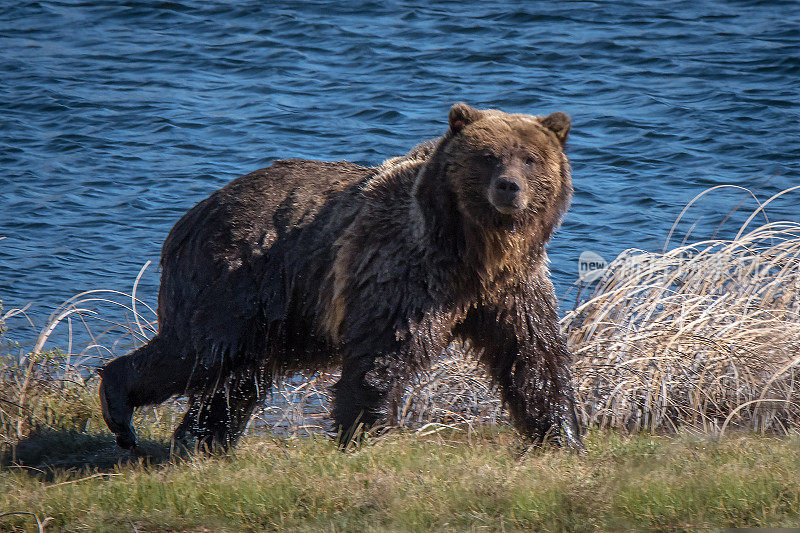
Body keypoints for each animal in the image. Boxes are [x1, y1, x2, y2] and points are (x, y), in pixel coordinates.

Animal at [98, 103, 580, 448]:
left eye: (530, 159)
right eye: (487, 157)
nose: (508, 187)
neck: (476, 250)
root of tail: (191, 215)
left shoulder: (513, 286)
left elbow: (533, 354)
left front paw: (561, 435)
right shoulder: (404, 270)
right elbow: (383, 353)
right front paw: (364, 432)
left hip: (265, 309)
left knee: (232, 378)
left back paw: (202, 440)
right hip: (232, 277)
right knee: (198, 351)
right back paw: (122, 409)